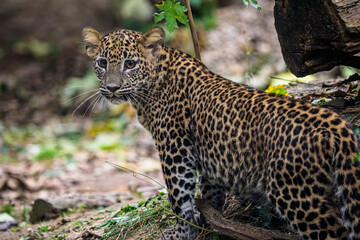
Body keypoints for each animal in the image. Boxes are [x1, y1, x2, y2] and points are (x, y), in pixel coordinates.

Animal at [81, 25, 360, 239]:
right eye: (102, 63)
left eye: (129, 64)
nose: (112, 88)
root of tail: (335, 124)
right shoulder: (208, 159)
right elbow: (210, 193)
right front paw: (206, 224)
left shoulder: (175, 151)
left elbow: (179, 197)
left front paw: (182, 231)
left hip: (296, 192)